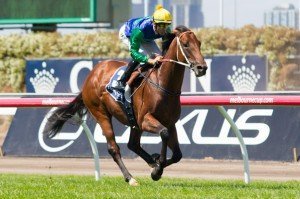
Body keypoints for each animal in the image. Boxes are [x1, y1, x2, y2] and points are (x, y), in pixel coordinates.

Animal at [44, 25, 206, 186]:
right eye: (185, 44)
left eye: (199, 43)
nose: (202, 68)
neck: (162, 83)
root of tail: (92, 74)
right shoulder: (145, 120)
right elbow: (164, 133)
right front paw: (157, 169)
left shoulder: (170, 123)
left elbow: (177, 154)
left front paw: (156, 165)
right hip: (101, 113)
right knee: (114, 148)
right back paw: (130, 178)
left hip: (133, 121)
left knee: (132, 144)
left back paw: (150, 161)